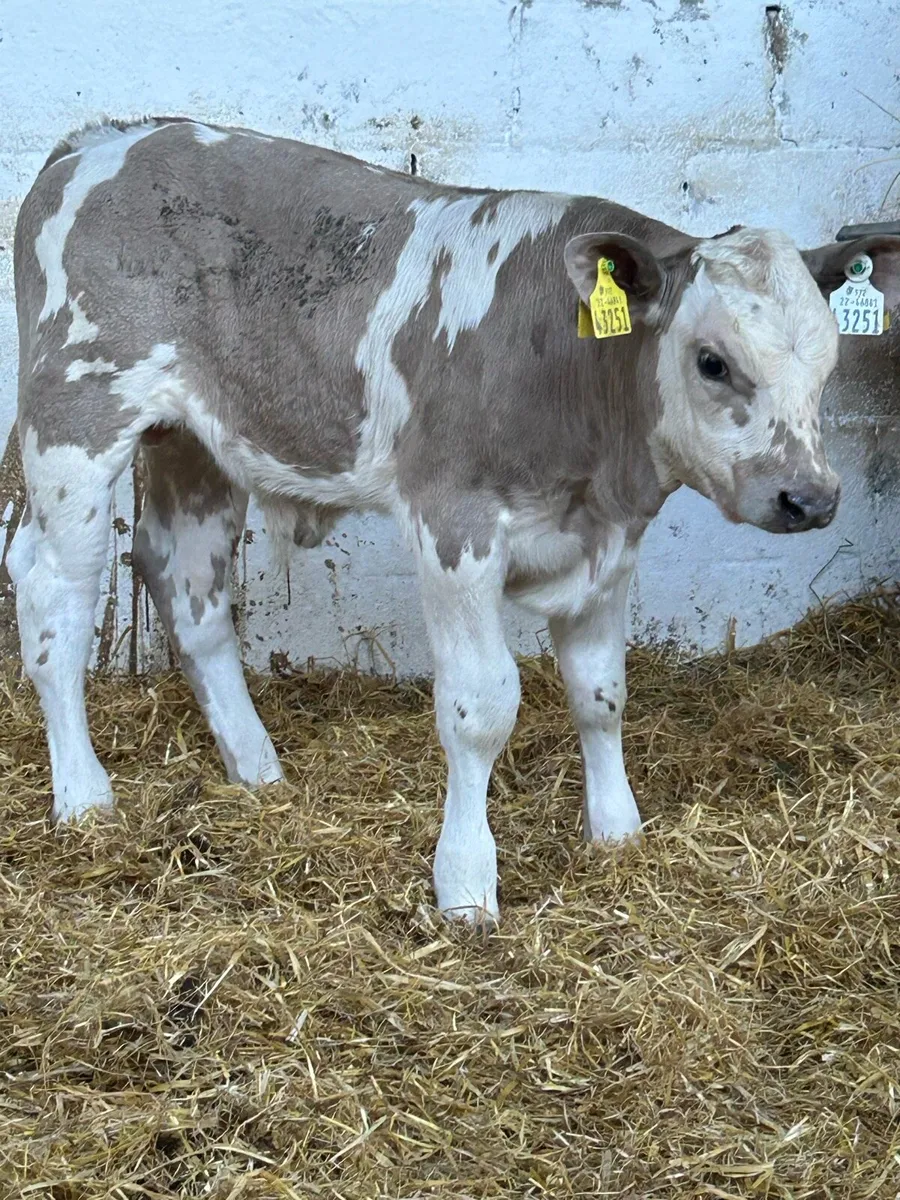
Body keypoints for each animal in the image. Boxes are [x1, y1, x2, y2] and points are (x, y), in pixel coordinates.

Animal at [8, 117, 900, 926]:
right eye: (713, 362)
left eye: (828, 367)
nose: (809, 497)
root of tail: (105, 138)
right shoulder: (454, 526)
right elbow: (481, 708)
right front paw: (466, 884)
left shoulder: (609, 546)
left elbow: (602, 693)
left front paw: (617, 832)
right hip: (75, 423)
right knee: (54, 591)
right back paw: (84, 796)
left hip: (198, 444)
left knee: (186, 581)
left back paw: (257, 768)